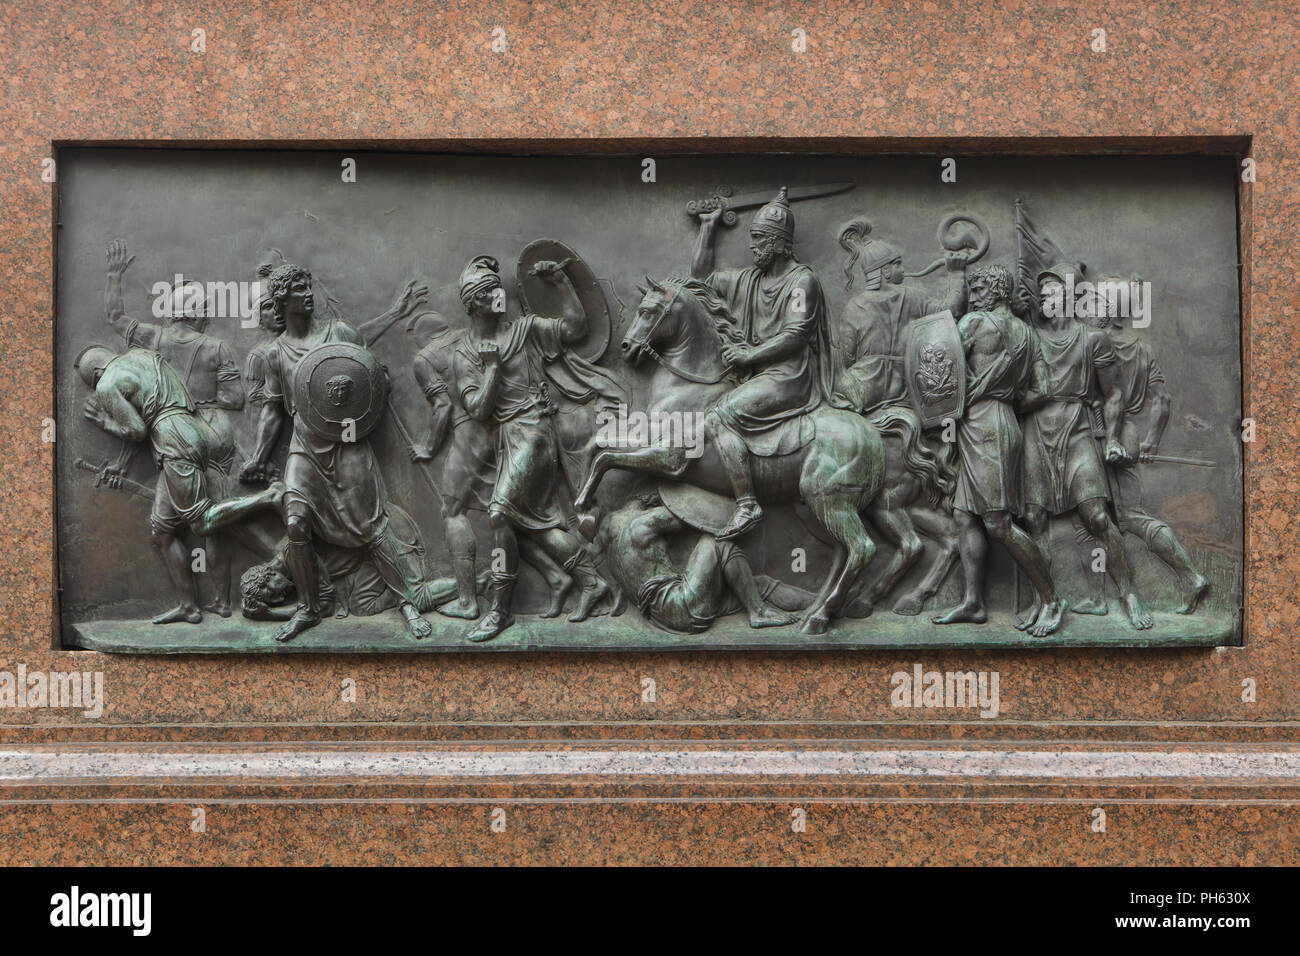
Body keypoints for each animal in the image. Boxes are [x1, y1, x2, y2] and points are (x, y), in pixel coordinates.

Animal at [574, 277, 889, 634]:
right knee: (840, 552)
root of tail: (870, 432)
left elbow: (605, 456)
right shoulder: (645, 439)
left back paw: (817, 615)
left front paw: (584, 513)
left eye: (648, 311)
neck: (688, 388)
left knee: (862, 549)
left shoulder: (667, 458)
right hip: (810, 505)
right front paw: (585, 509)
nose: (626, 348)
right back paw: (814, 610)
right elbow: (596, 445)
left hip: (830, 500)